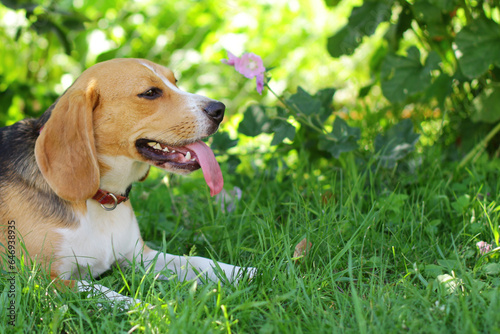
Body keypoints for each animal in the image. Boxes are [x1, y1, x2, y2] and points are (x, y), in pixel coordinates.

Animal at [0, 59, 254, 306]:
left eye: (175, 81)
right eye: (150, 93)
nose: (219, 109)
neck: (102, 199)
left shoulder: (141, 256)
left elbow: (197, 261)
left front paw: (245, 273)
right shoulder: (42, 280)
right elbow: (104, 292)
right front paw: (151, 311)